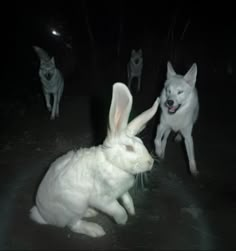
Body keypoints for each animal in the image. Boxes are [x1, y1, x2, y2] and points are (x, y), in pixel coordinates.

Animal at [29, 82, 159, 237]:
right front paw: (122, 221)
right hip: (75, 205)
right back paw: (95, 230)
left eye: (141, 141)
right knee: (73, 225)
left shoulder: (122, 192)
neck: (111, 162)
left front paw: (132, 211)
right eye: (129, 148)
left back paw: (90, 213)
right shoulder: (103, 200)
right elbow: (118, 210)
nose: (151, 162)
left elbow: (127, 199)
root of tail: (44, 216)